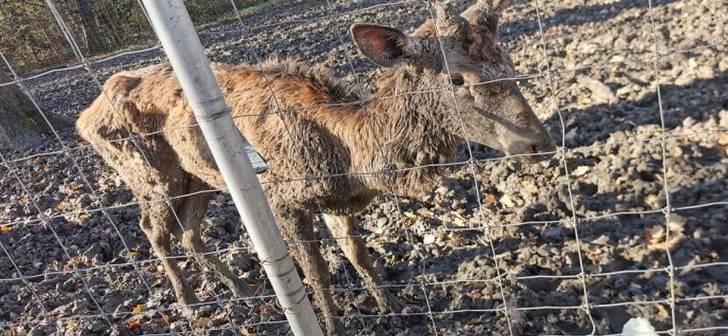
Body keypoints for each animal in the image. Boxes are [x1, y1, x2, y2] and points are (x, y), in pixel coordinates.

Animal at [77, 0, 556, 334]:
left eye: (508, 61)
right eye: (457, 79)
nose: (539, 143)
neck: (351, 155)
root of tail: (85, 117)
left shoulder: (337, 202)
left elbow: (357, 253)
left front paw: (391, 307)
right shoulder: (284, 196)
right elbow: (317, 273)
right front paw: (332, 325)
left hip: (198, 178)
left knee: (189, 234)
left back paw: (243, 291)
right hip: (150, 174)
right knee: (153, 231)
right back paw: (191, 304)